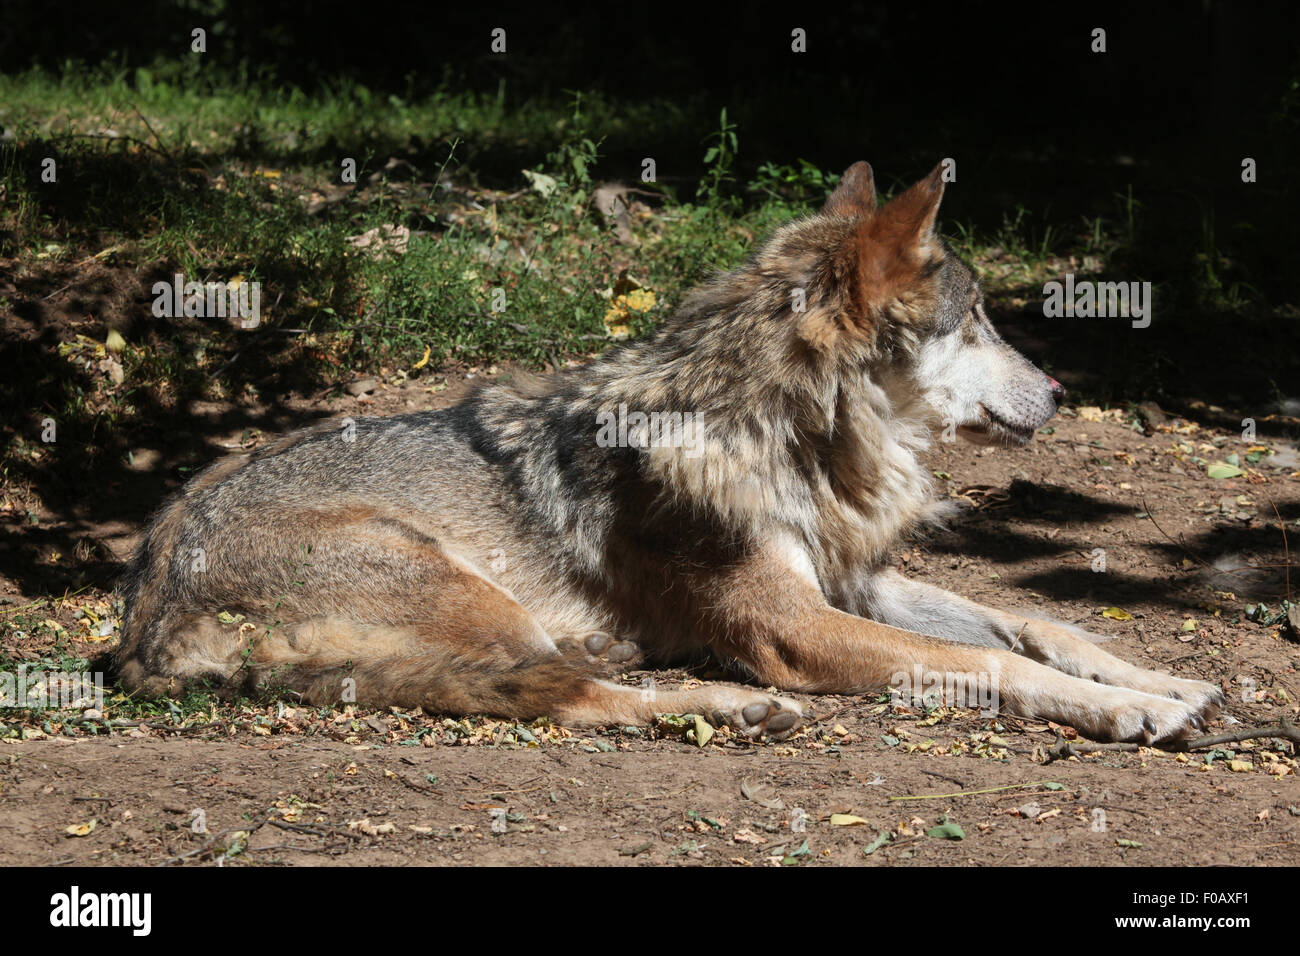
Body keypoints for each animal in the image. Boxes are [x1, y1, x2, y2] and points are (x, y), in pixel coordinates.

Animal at [109, 162, 1216, 749]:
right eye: (980, 320)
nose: (1064, 391)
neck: (795, 439)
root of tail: (144, 621)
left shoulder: (849, 584)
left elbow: (1033, 618)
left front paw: (1159, 678)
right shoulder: (794, 626)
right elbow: (989, 655)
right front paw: (1126, 711)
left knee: (554, 682)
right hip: (473, 593)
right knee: (565, 698)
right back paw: (731, 703)